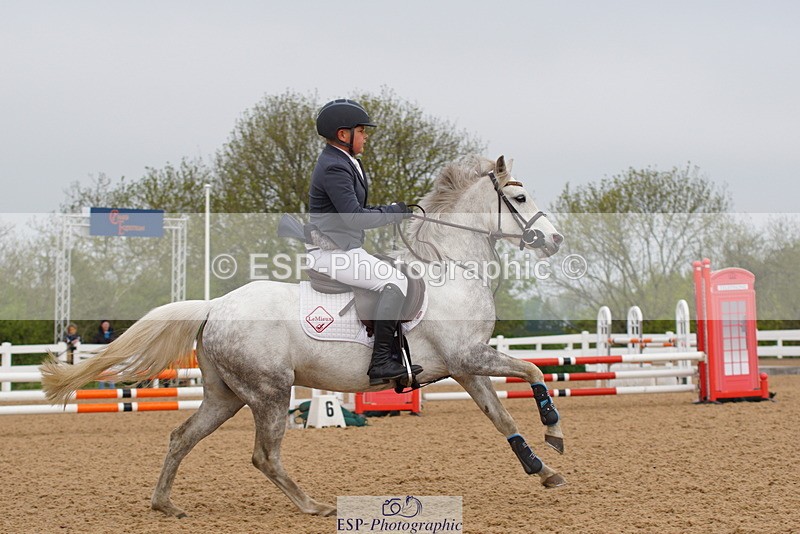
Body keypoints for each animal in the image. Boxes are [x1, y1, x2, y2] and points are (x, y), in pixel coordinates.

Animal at [41, 154, 567, 519]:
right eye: (520, 199)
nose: (555, 240)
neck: (452, 267)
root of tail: (215, 306)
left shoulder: (463, 366)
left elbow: (501, 416)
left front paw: (542, 469)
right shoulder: (468, 356)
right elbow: (533, 370)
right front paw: (554, 430)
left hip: (225, 396)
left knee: (181, 436)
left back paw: (164, 505)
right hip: (270, 392)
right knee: (264, 456)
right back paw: (313, 505)